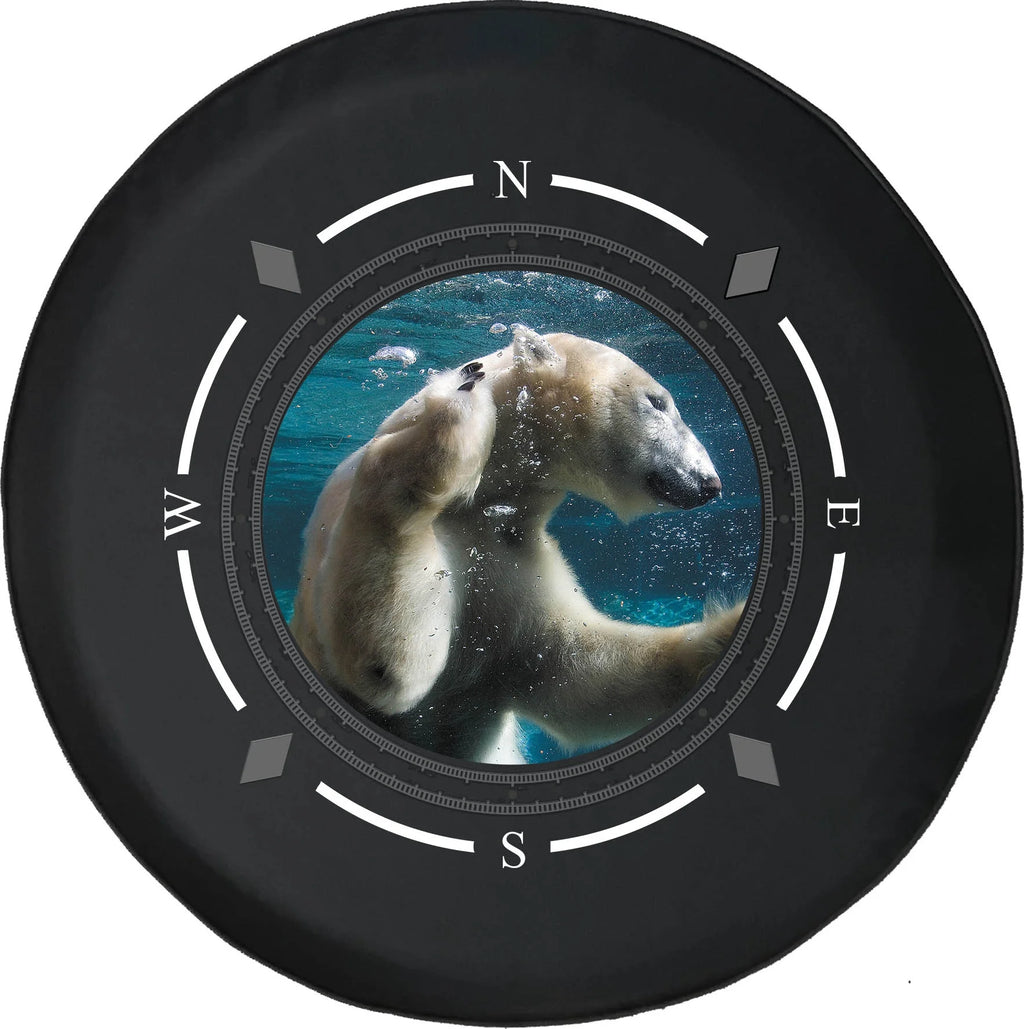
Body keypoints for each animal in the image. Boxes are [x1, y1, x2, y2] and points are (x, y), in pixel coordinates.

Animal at [290, 324, 744, 762]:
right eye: (658, 402)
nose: (712, 484)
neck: (489, 501)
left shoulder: (517, 557)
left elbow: (577, 672)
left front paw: (725, 629)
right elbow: (389, 664)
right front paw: (456, 403)